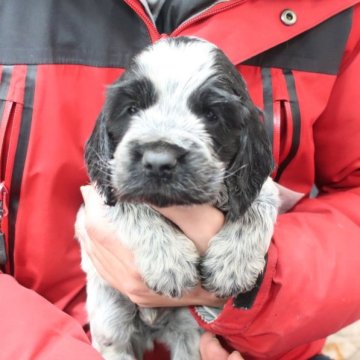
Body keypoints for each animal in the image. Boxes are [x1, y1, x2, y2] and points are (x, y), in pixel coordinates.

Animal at [75, 37, 278, 360]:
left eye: (211, 115)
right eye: (132, 109)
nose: (159, 161)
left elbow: (258, 199)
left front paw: (233, 265)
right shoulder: (98, 197)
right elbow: (130, 201)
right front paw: (168, 261)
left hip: (187, 332)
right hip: (111, 324)